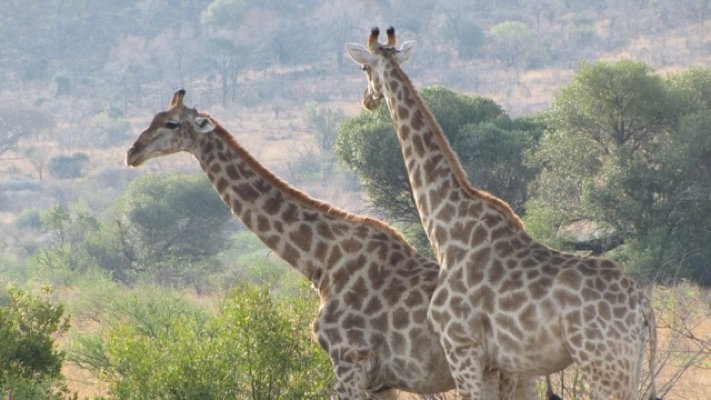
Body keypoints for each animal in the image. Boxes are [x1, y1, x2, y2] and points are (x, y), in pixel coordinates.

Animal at [124, 89, 528, 398]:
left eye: (171, 123)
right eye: (154, 117)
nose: (132, 152)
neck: (320, 260)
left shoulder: (349, 362)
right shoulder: (381, 380)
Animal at [344, 27, 660, 400]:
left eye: (365, 69)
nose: (367, 100)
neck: (446, 231)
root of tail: (642, 307)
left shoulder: (461, 346)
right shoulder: (494, 362)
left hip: (604, 363)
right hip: (628, 363)